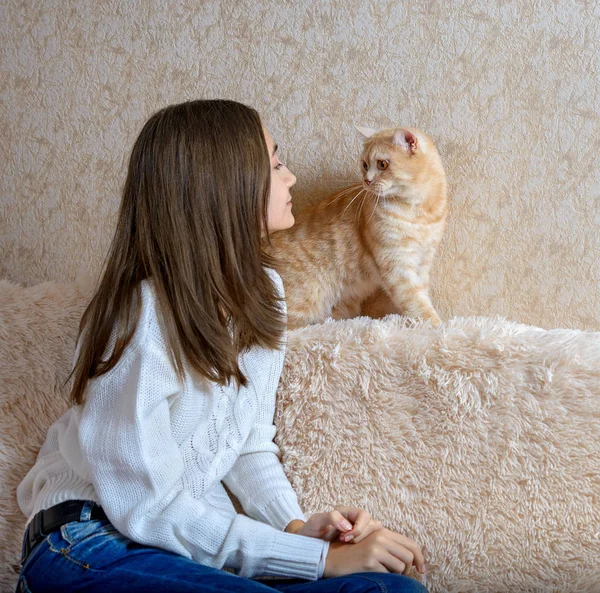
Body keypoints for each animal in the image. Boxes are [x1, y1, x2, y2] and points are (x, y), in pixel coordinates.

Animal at [264, 126, 448, 328]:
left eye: (382, 164)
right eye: (365, 165)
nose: (366, 181)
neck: (419, 211)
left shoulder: (423, 261)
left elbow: (421, 294)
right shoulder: (396, 264)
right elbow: (415, 302)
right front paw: (436, 326)